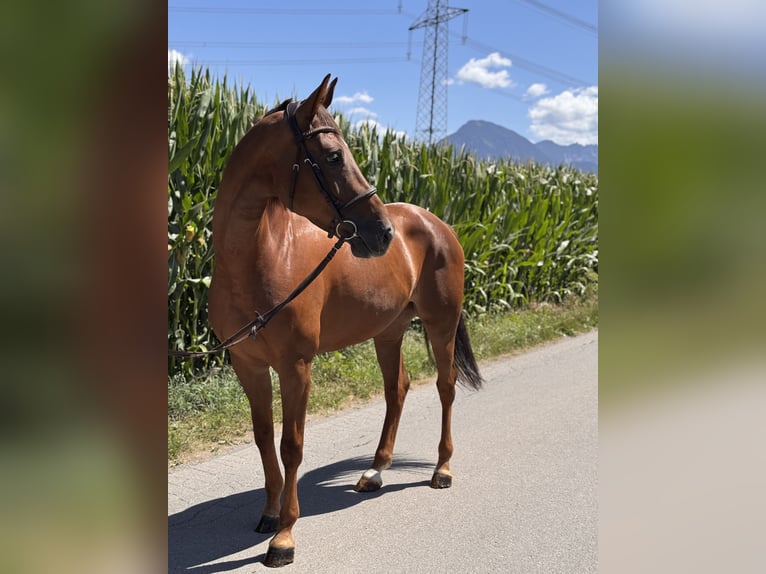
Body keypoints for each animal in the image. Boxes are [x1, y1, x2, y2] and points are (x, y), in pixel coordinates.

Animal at [208, 74, 483, 568]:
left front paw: (284, 537)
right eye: (334, 156)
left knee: (446, 386)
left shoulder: (297, 367)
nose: (382, 233)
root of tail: (434, 222)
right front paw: (269, 513)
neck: (259, 258)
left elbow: (291, 444)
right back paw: (375, 472)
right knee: (398, 389)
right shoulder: (248, 365)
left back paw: (442, 468)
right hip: (389, 331)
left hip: (441, 324)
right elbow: (263, 437)